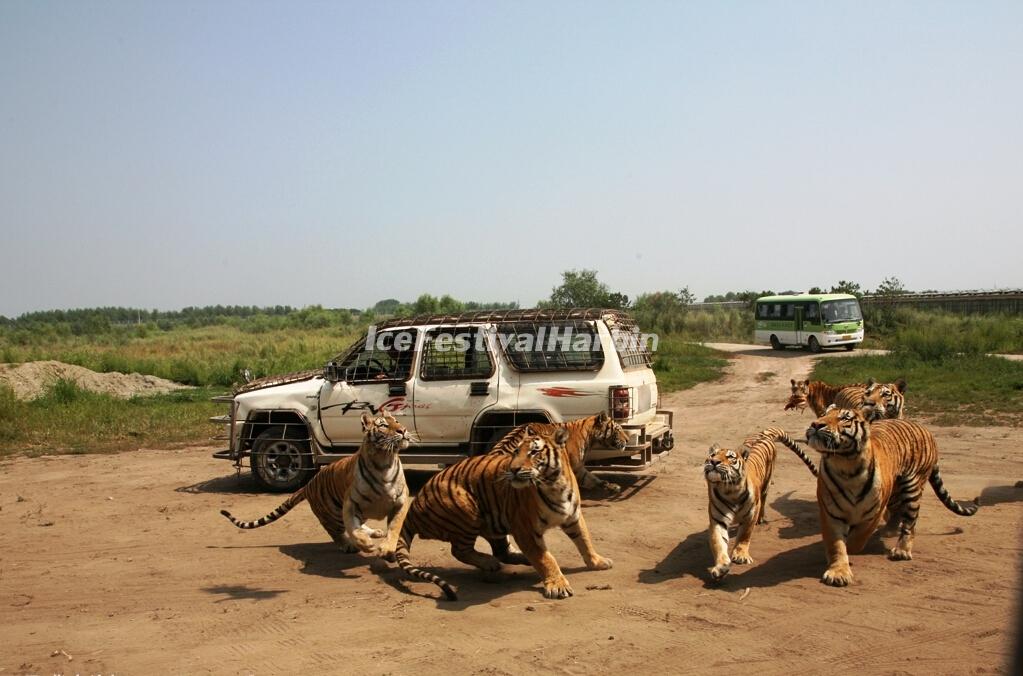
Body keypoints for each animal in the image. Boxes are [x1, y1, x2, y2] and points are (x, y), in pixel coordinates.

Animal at [220, 411, 411, 560]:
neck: (384, 461)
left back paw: (375, 533)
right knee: (336, 531)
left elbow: (394, 527)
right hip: (332, 513)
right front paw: (365, 544)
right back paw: (349, 545)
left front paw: (386, 547)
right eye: (384, 425)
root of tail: (308, 484)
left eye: (397, 421)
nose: (403, 430)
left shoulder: (400, 502)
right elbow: (353, 529)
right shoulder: (350, 504)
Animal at [394, 427, 609, 601]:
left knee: (502, 551)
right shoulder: (525, 529)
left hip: (495, 522)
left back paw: (520, 558)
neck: (554, 484)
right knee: (460, 550)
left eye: (534, 451)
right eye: (516, 452)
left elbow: (585, 540)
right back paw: (489, 563)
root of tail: (414, 505)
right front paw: (558, 585)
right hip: (467, 509)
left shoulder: (573, 517)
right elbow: (545, 558)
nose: (513, 469)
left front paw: (598, 561)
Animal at [707, 427, 818, 580]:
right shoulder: (718, 520)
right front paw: (721, 567)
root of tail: (765, 433)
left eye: (730, 457)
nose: (714, 462)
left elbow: (744, 535)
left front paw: (741, 556)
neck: (729, 489)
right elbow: (719, 542)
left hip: (766, 484)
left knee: (764, 500)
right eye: (712, 455)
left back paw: (761, 518)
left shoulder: (750, 516)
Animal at [802, 407, 977, 584]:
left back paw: (901, 551)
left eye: (844, 418)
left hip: (912, 488)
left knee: (910, 523)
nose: (816, 424)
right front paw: (838, 572)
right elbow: (837, 544)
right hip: (894, 492)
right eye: (824, 414)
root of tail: (924, 428)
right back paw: (888, 531)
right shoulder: (830, 513)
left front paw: (849, 549)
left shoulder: (874, 514)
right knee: (897, 512)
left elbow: (858, 538)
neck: (845, 465)